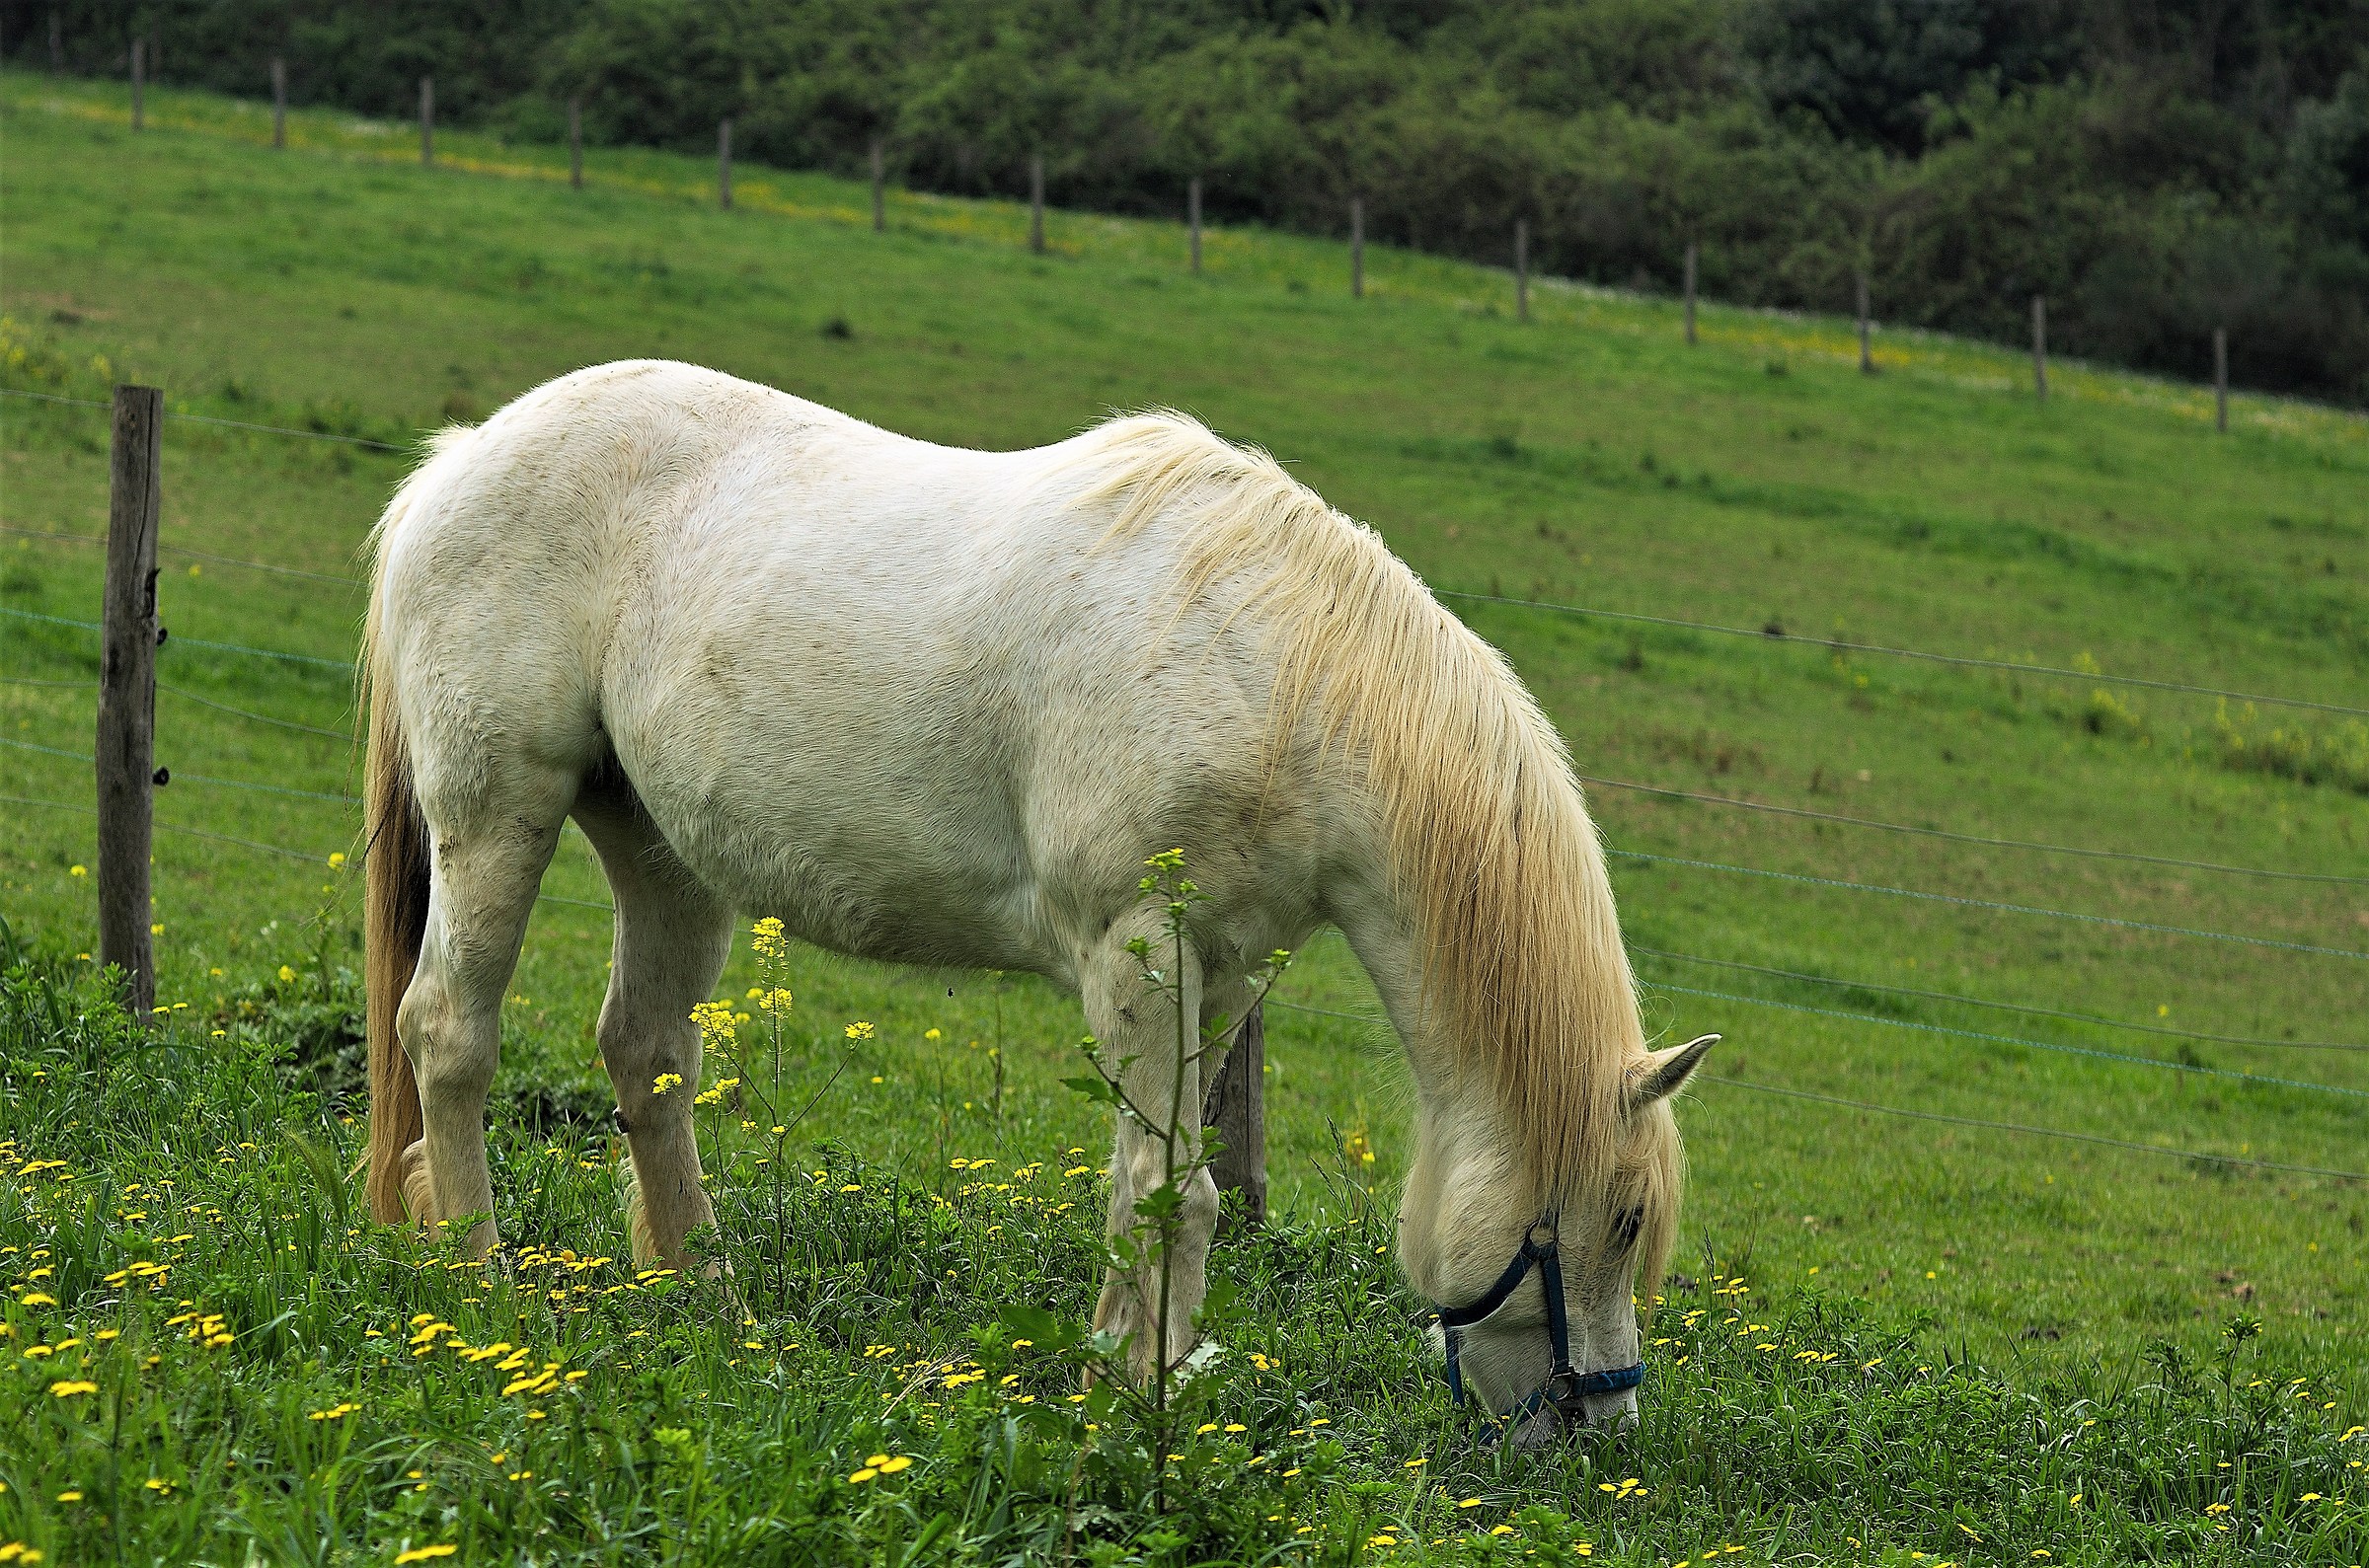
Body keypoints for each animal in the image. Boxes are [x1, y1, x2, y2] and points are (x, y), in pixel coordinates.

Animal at [359, 359, 1716, 1444]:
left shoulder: (1222, 970)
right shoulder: (1139, 954)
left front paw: (1146, 1369)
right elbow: (1168, 1187)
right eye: (1619, 1218)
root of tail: (459, 460)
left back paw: (707, 1290)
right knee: (448, 1032)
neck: (1279, 678)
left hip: (662, 854)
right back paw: (479, 1272)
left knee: (647, 1058)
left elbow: (1166, 1180)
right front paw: (1128, 1389)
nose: (1600, 1428)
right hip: (499, 810)